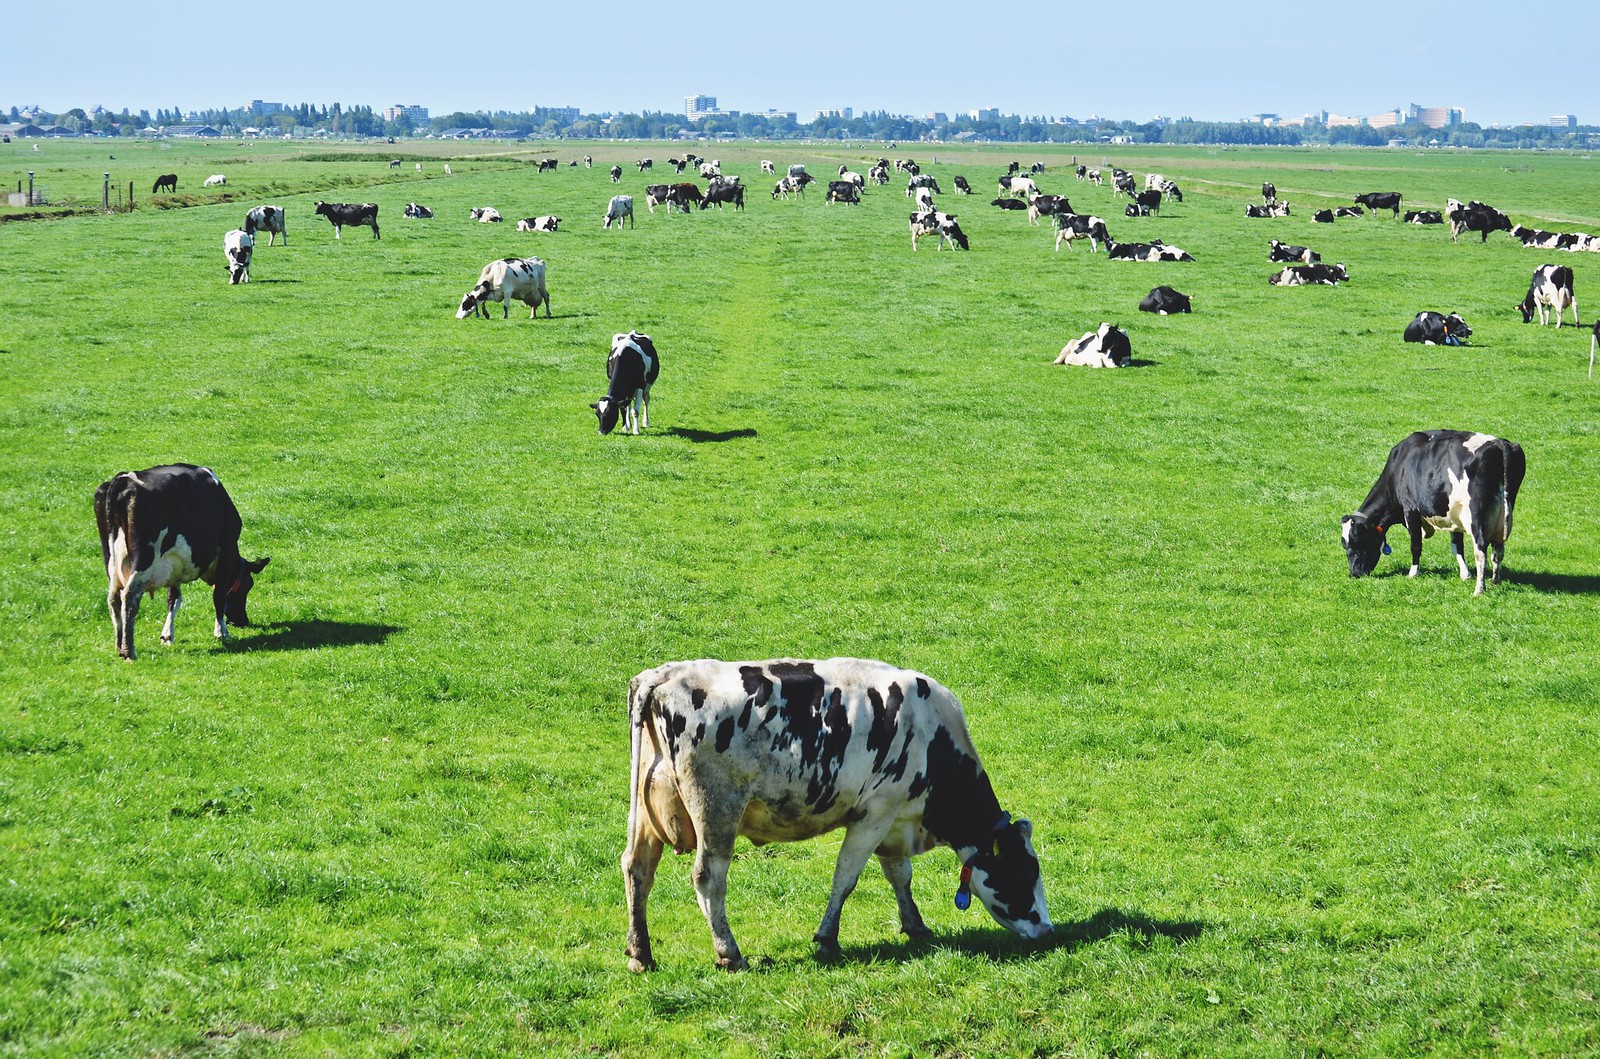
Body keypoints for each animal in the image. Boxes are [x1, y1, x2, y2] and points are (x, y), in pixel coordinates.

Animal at [94, 467, 270, 659]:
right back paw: (128, 651)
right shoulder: (226, 553)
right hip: (142, 562)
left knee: (114, 599)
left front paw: (167, 635)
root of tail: (122, 479)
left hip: (111, 562)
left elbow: (174, 599)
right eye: (248, 585)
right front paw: (221, 632)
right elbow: (219, 596)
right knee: (129, 597)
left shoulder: (174, 566)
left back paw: (119, 646)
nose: (242, 621)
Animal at [620, 659, 1049, 972]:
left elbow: (900, 875)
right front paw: (827, 939)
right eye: (1024, 872)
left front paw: (915, 924)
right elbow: (846, 879)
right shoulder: (874, 814)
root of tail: (664, 674)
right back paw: (730, 953)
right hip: (717, 810)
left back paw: (641, 954)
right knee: (708, 878)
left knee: (637, 868)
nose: (1047, 930)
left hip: (645, 814)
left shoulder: (894, 819)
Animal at [1337, 431, 1523, 598]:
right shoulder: (1453, 514)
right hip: (1502, 514)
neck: (1399, 466)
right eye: (1344, 545)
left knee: (1481, 550)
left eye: (1357, 540)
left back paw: (1479, 589)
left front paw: (1413, 573)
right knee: (1498, 549)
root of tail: (1498, 443)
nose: (1354, 573)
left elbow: (1415, 545)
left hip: (1476, 515)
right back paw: (1495, 581)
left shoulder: (1410, 510)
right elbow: (1457, 546)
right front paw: (1465, 574)